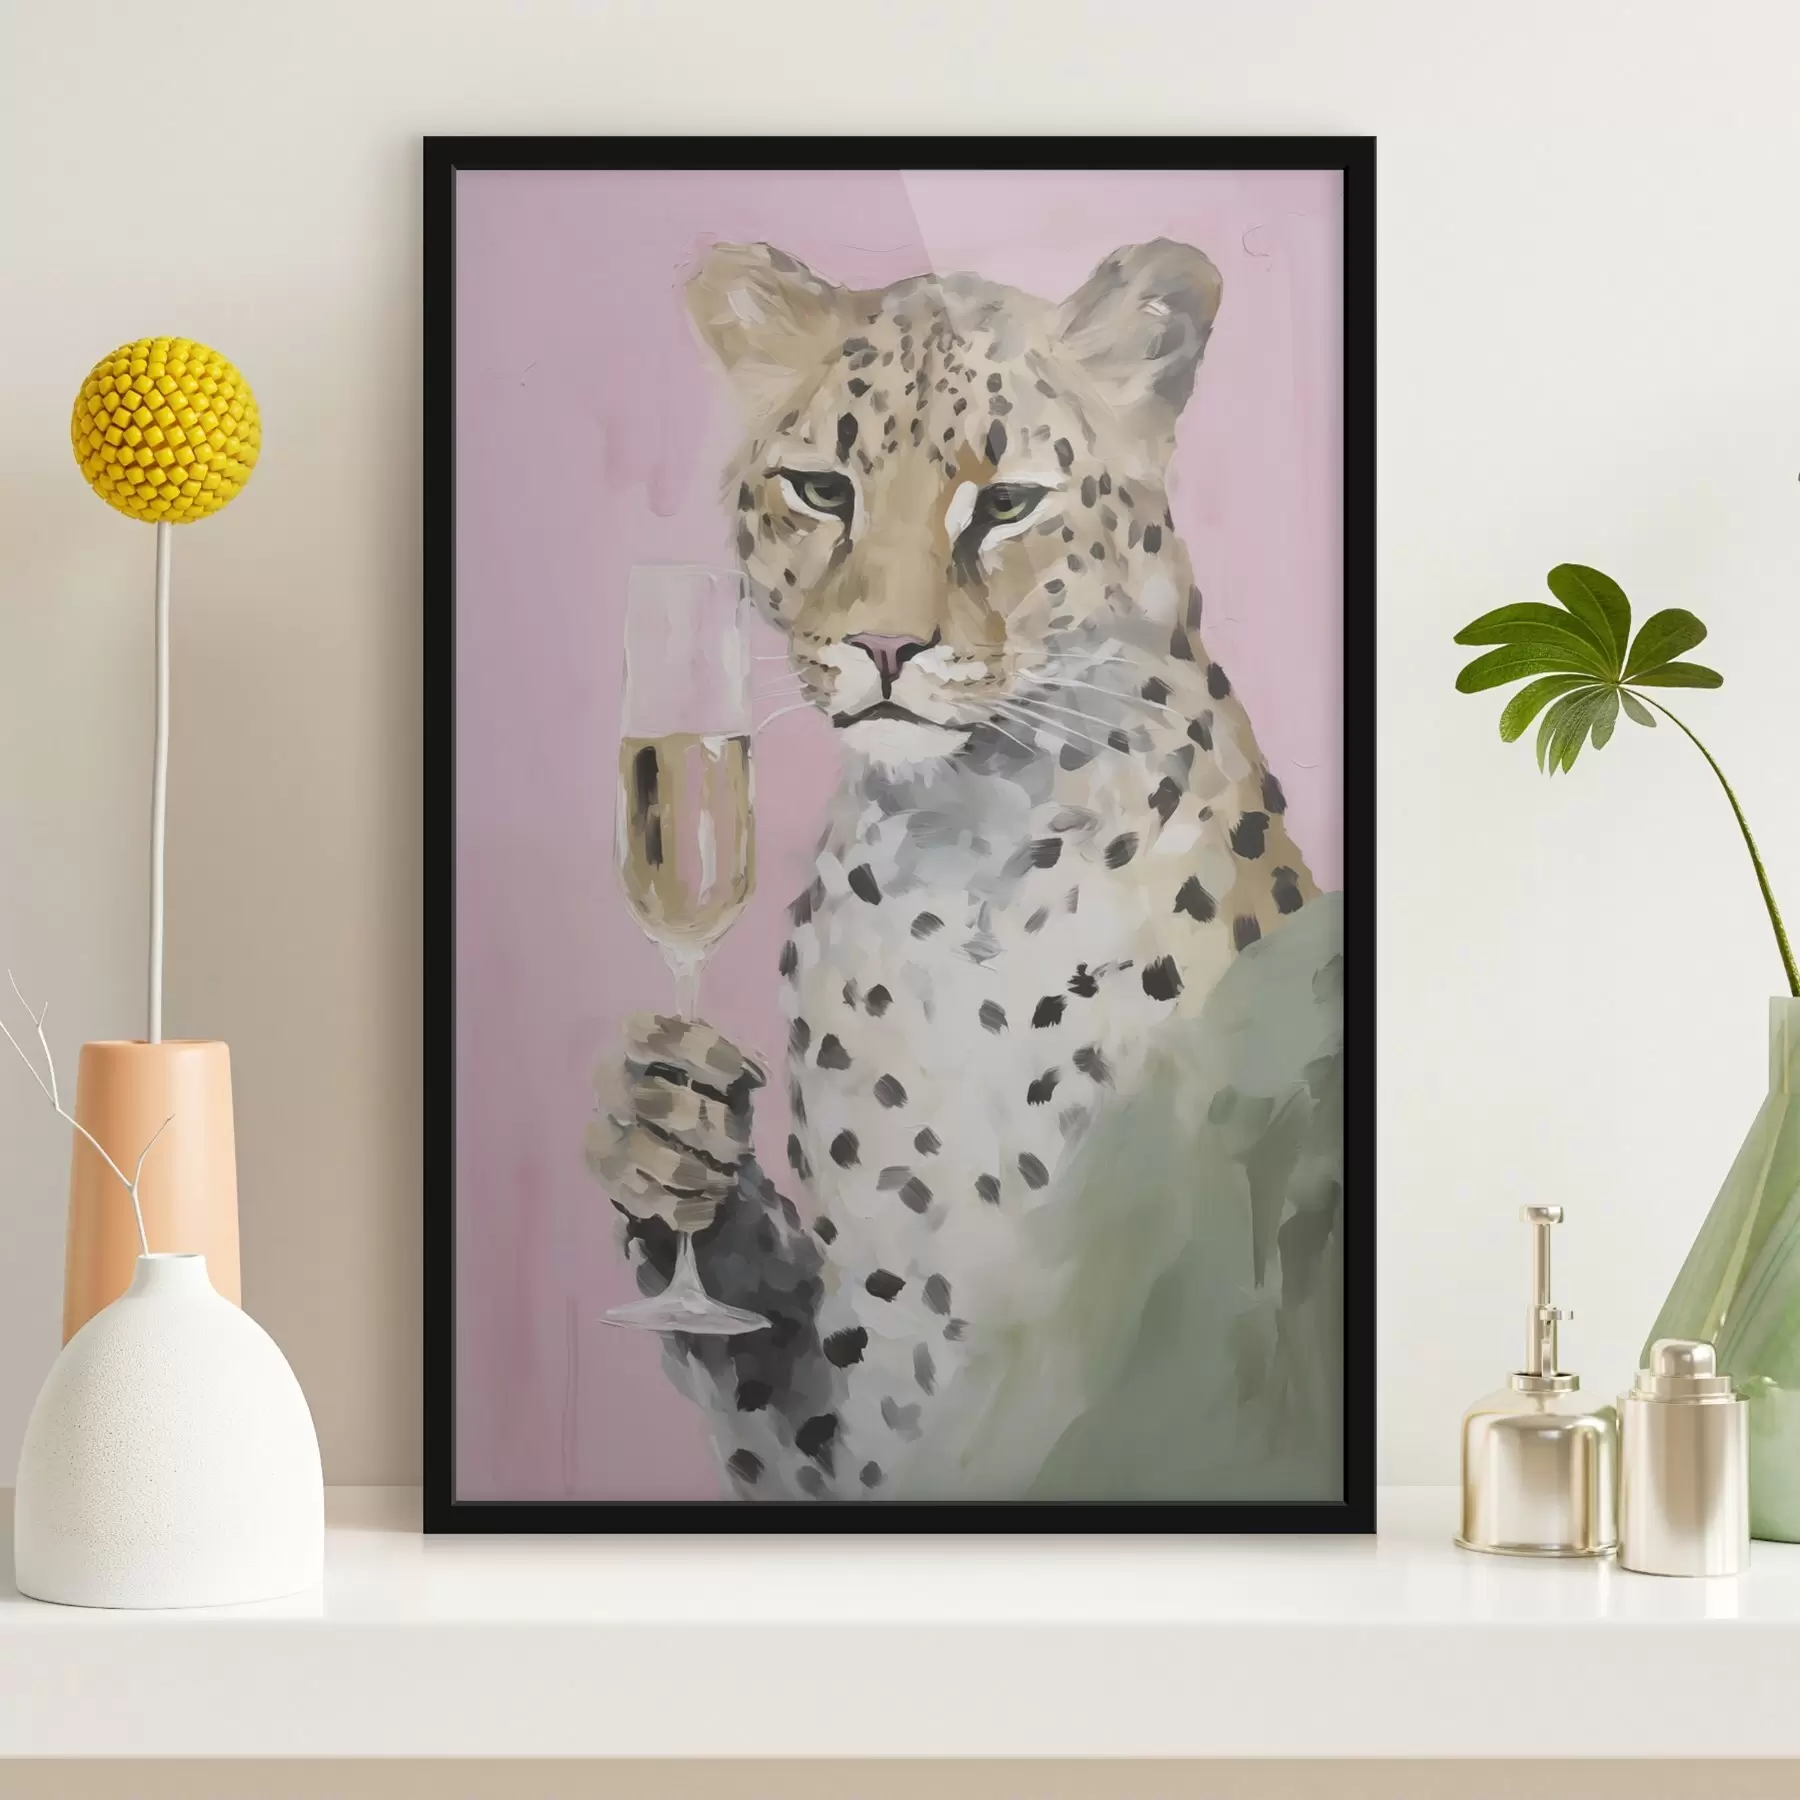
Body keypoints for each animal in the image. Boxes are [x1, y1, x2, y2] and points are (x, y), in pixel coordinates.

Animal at [586, 238, 1346, 1503]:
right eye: (822, 491)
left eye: (1004, 503)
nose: (885, 648)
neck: (961, 858)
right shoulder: (873, 1380)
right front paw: (661, 1138)